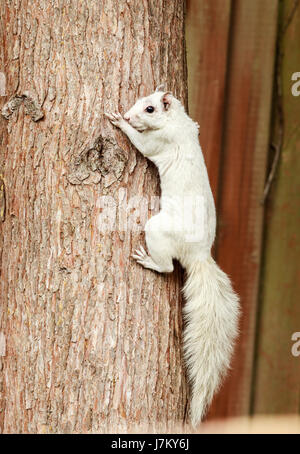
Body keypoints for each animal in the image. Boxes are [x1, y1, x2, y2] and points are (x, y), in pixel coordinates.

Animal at [105, 88, 239, 426]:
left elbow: (141, 144)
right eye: (141, 100)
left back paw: (149, 260)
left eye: (150, 109)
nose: (129, 115)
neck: (175, 121)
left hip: (157, 230)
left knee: (167, 267)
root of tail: (199, 254)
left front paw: (120, 123)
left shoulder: (159, 142)